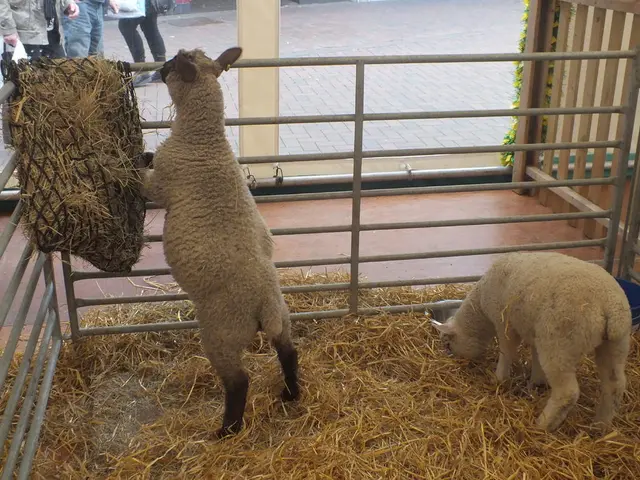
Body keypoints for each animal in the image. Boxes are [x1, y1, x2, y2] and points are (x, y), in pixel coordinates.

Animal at [139, 47, 300, 438]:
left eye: (172, 64)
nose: (159, 68)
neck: (203, 137)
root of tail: (263, 304)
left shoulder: (160, 186)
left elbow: (143, 181)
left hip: (222, 334)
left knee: (239, 381)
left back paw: (226, 430)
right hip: (283, 315)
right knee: (288, 351)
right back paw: (290, 394)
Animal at [431, 251, 632, 432]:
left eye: (448, 344)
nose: (456, 362)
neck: (480, 308)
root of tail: (609, 307)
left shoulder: (505, 323)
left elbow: (506, 352)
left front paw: (499, 378)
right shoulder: (534, 333)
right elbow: (535, 357)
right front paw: (536, 382)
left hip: (560, 344)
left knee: (567, 392)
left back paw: (542, 425)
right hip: (616, 344)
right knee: (614, 385)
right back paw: (599, 426)